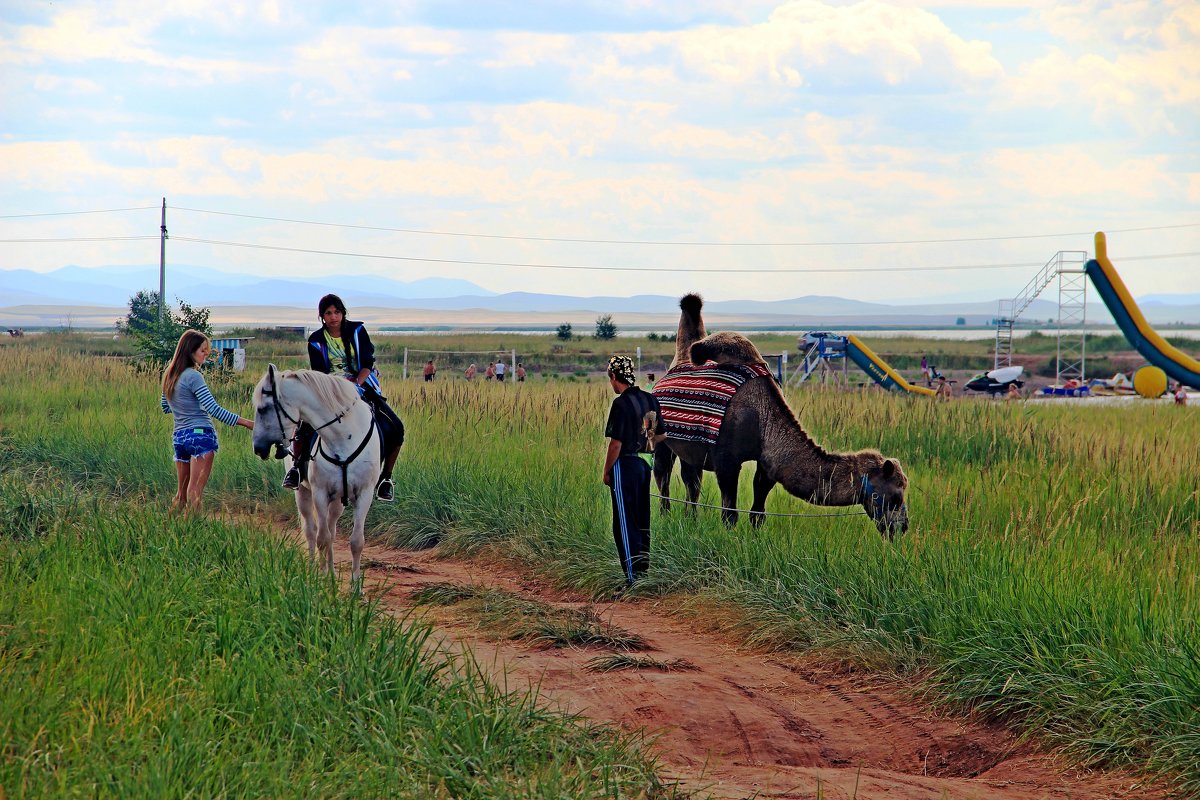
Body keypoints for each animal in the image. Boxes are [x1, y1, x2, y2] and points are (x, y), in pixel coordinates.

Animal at [250, 364, 381, 582]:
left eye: (263, 409)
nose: (258, 448)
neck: (344, 437)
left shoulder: (364, 494)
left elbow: (356, 541)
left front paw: (354, 586)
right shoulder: (320, 493)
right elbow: (322, 538)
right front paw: (321, 579)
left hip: (338, 501)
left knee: (332, 529)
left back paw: (332, 572)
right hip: (303, 493)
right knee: (311, 531)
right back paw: (314, 568)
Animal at [657, 293, 907, 537]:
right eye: (895, 497)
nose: (902, 527)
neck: (761, 416)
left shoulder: (766, 461)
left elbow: (758, 511)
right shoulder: (726, 461)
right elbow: (729, 514)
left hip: (690, 449)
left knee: (691, 481)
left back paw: (690, 519)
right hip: (660, 439)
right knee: (664, 479)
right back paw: (666, 517)